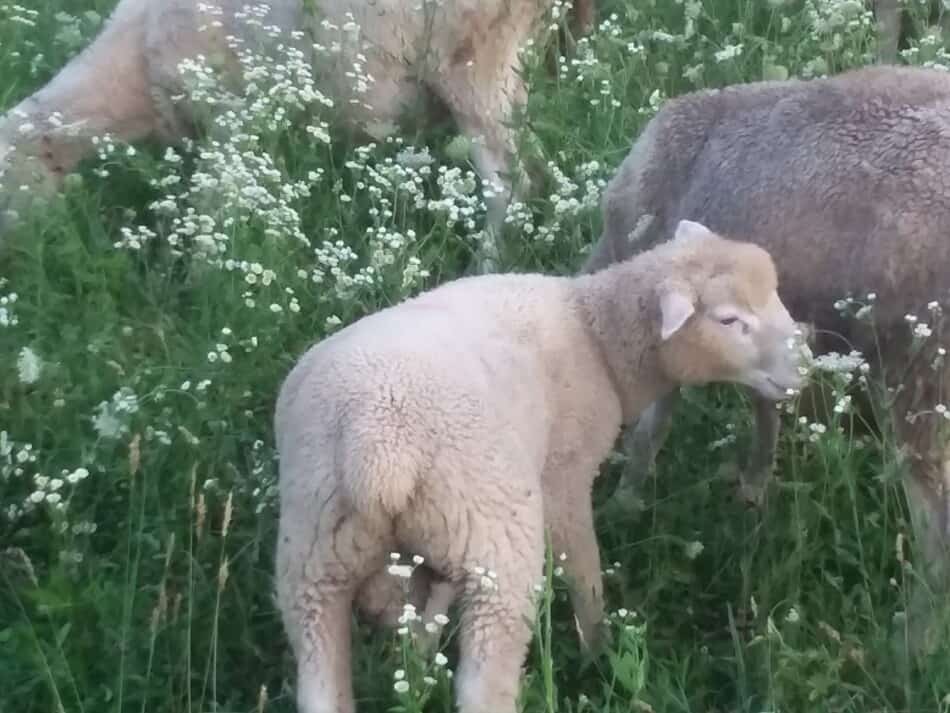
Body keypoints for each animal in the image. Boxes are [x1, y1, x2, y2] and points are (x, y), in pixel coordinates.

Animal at [0, 0, 596, 264]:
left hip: (474, 61)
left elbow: (214, 210)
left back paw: (485, 265)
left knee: (511, 183)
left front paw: (200, 282)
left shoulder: (231, 118)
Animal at [274, 218, 812, 712]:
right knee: (485, 686)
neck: (597, 337)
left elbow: (435, 600)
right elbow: (583, 569)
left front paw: (420, 658)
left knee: (320, 683)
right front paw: (599, 648)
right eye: (729, 320)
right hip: (496, 552)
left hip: (314, 559)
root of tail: (379, 446)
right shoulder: (563, 477)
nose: (805, 365)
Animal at [580, 61, 950, 652]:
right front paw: (754, 486)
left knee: (936, 517)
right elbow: (765, 400)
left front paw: (627, 500)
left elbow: (655, 425)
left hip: (919, 362)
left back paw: (915, 641)